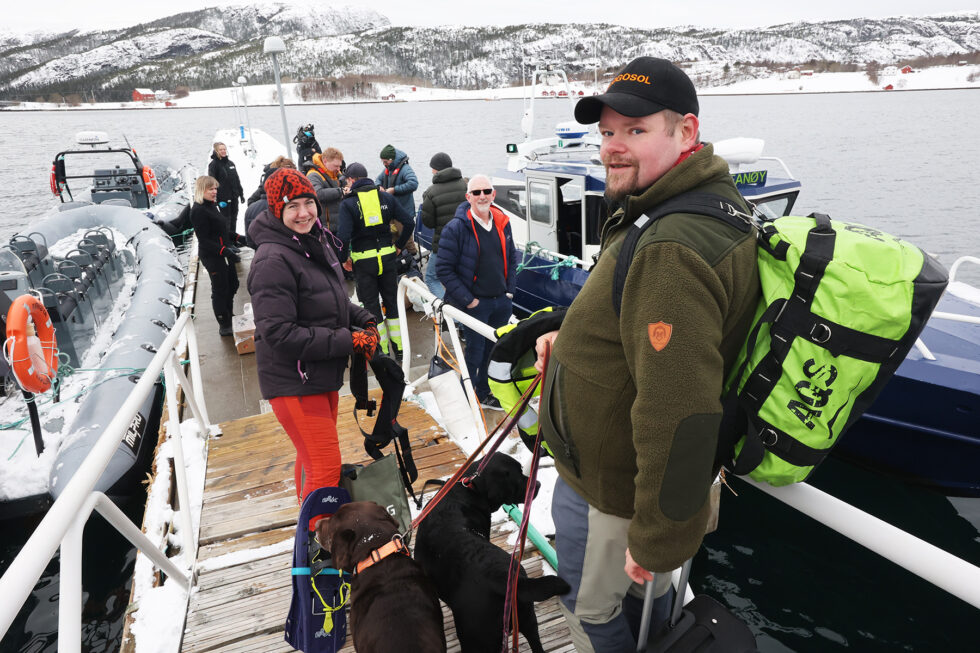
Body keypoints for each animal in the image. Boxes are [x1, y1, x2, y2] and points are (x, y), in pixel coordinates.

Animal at [414, 453, 571, 653]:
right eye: (516, 476)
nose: (538, 484)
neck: (469, 488)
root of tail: (500, 577)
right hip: (527, 619)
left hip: (475, 637)